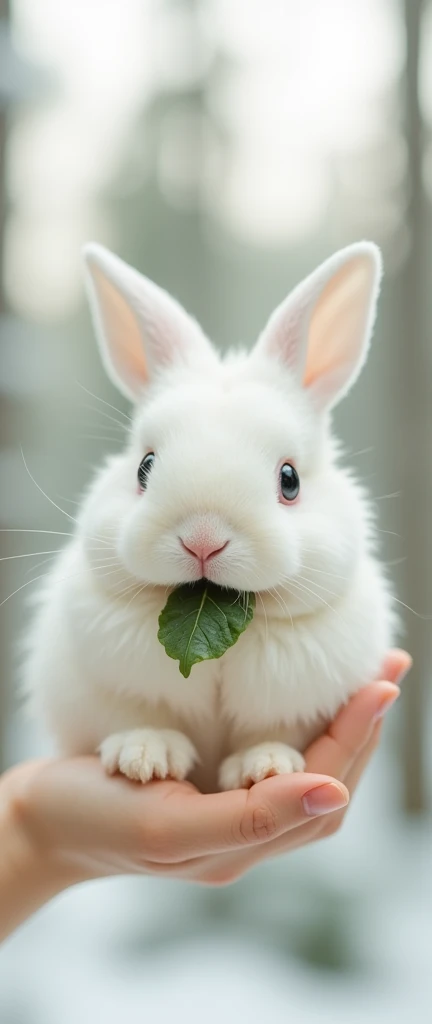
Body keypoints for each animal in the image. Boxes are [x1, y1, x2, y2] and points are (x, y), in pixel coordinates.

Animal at [22, 239, 395, 790]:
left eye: (290, 480)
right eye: (144, 467)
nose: (202, 539)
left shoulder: (295, 702)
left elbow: (270, 732)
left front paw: (266, 765)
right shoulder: (119, 685)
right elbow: (141, 717)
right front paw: (144, 756)